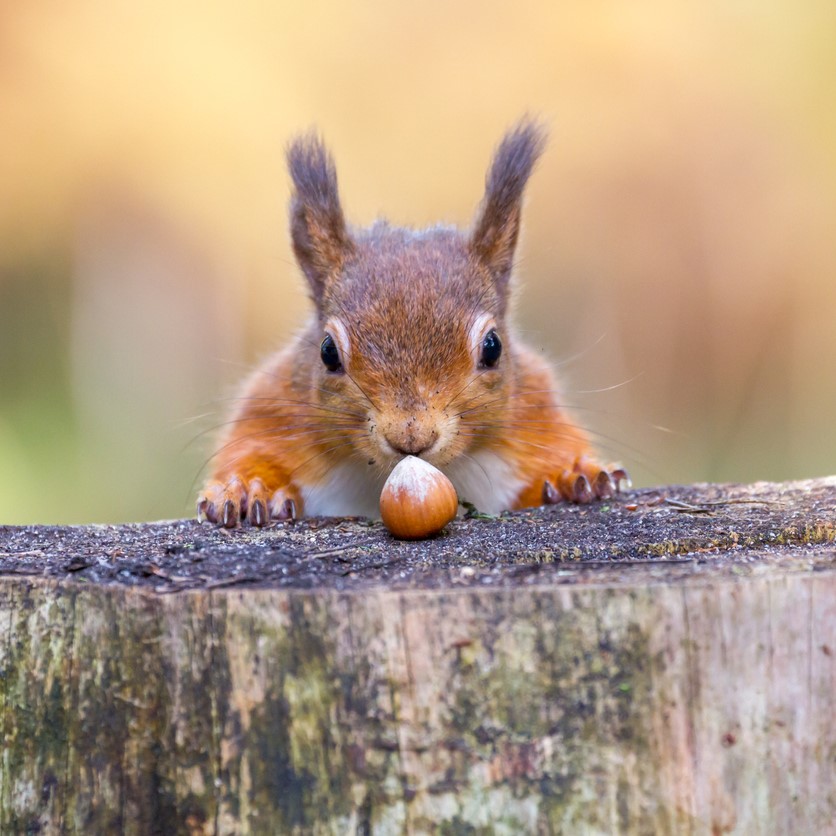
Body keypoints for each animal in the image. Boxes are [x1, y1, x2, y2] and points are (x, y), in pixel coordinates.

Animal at [197, 120, 628, 528]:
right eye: (327, 352)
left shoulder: (534, 410)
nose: (411, 436)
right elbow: (252, 449)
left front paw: (575, 474)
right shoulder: (274, 411)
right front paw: (247, 487)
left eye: (493, 347)